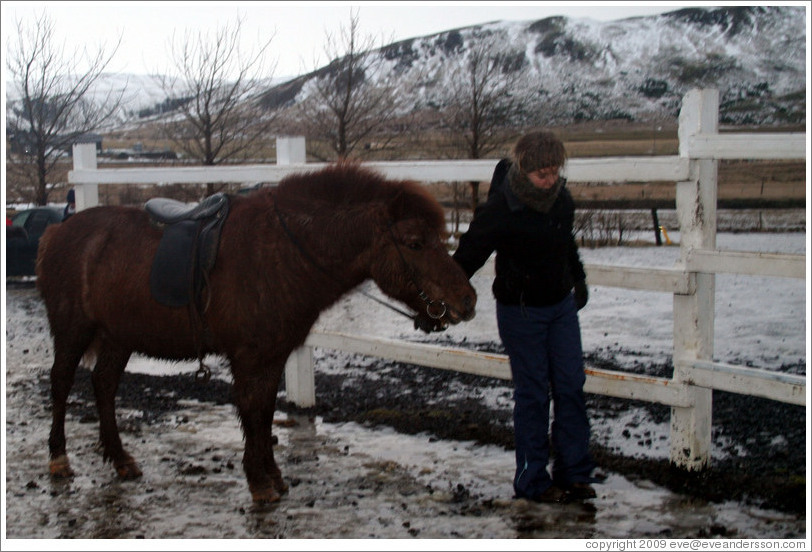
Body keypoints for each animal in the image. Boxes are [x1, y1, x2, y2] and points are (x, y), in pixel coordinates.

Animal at [36, 162, 476, 502]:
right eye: (415, 243)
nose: (467, 300)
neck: (285, 251)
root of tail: (58, 231)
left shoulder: (273, 354)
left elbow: (264, 412)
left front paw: (272, 476)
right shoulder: (249, 357)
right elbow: (251, 411)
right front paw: (258, 480)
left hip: (117, 335)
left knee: (104, 385)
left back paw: (121, 459)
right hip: (73, 329)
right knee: (61, 383)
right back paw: (58, 458)